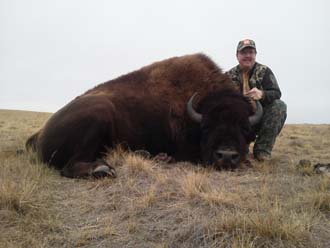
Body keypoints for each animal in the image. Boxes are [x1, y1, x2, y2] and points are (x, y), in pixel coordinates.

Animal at [25, 53, 262, 178]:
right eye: (207, 126)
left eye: (244, 128)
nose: (227, 156)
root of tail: (38, 134)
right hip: (100, 111)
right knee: (69, 166)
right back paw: (103, 168)